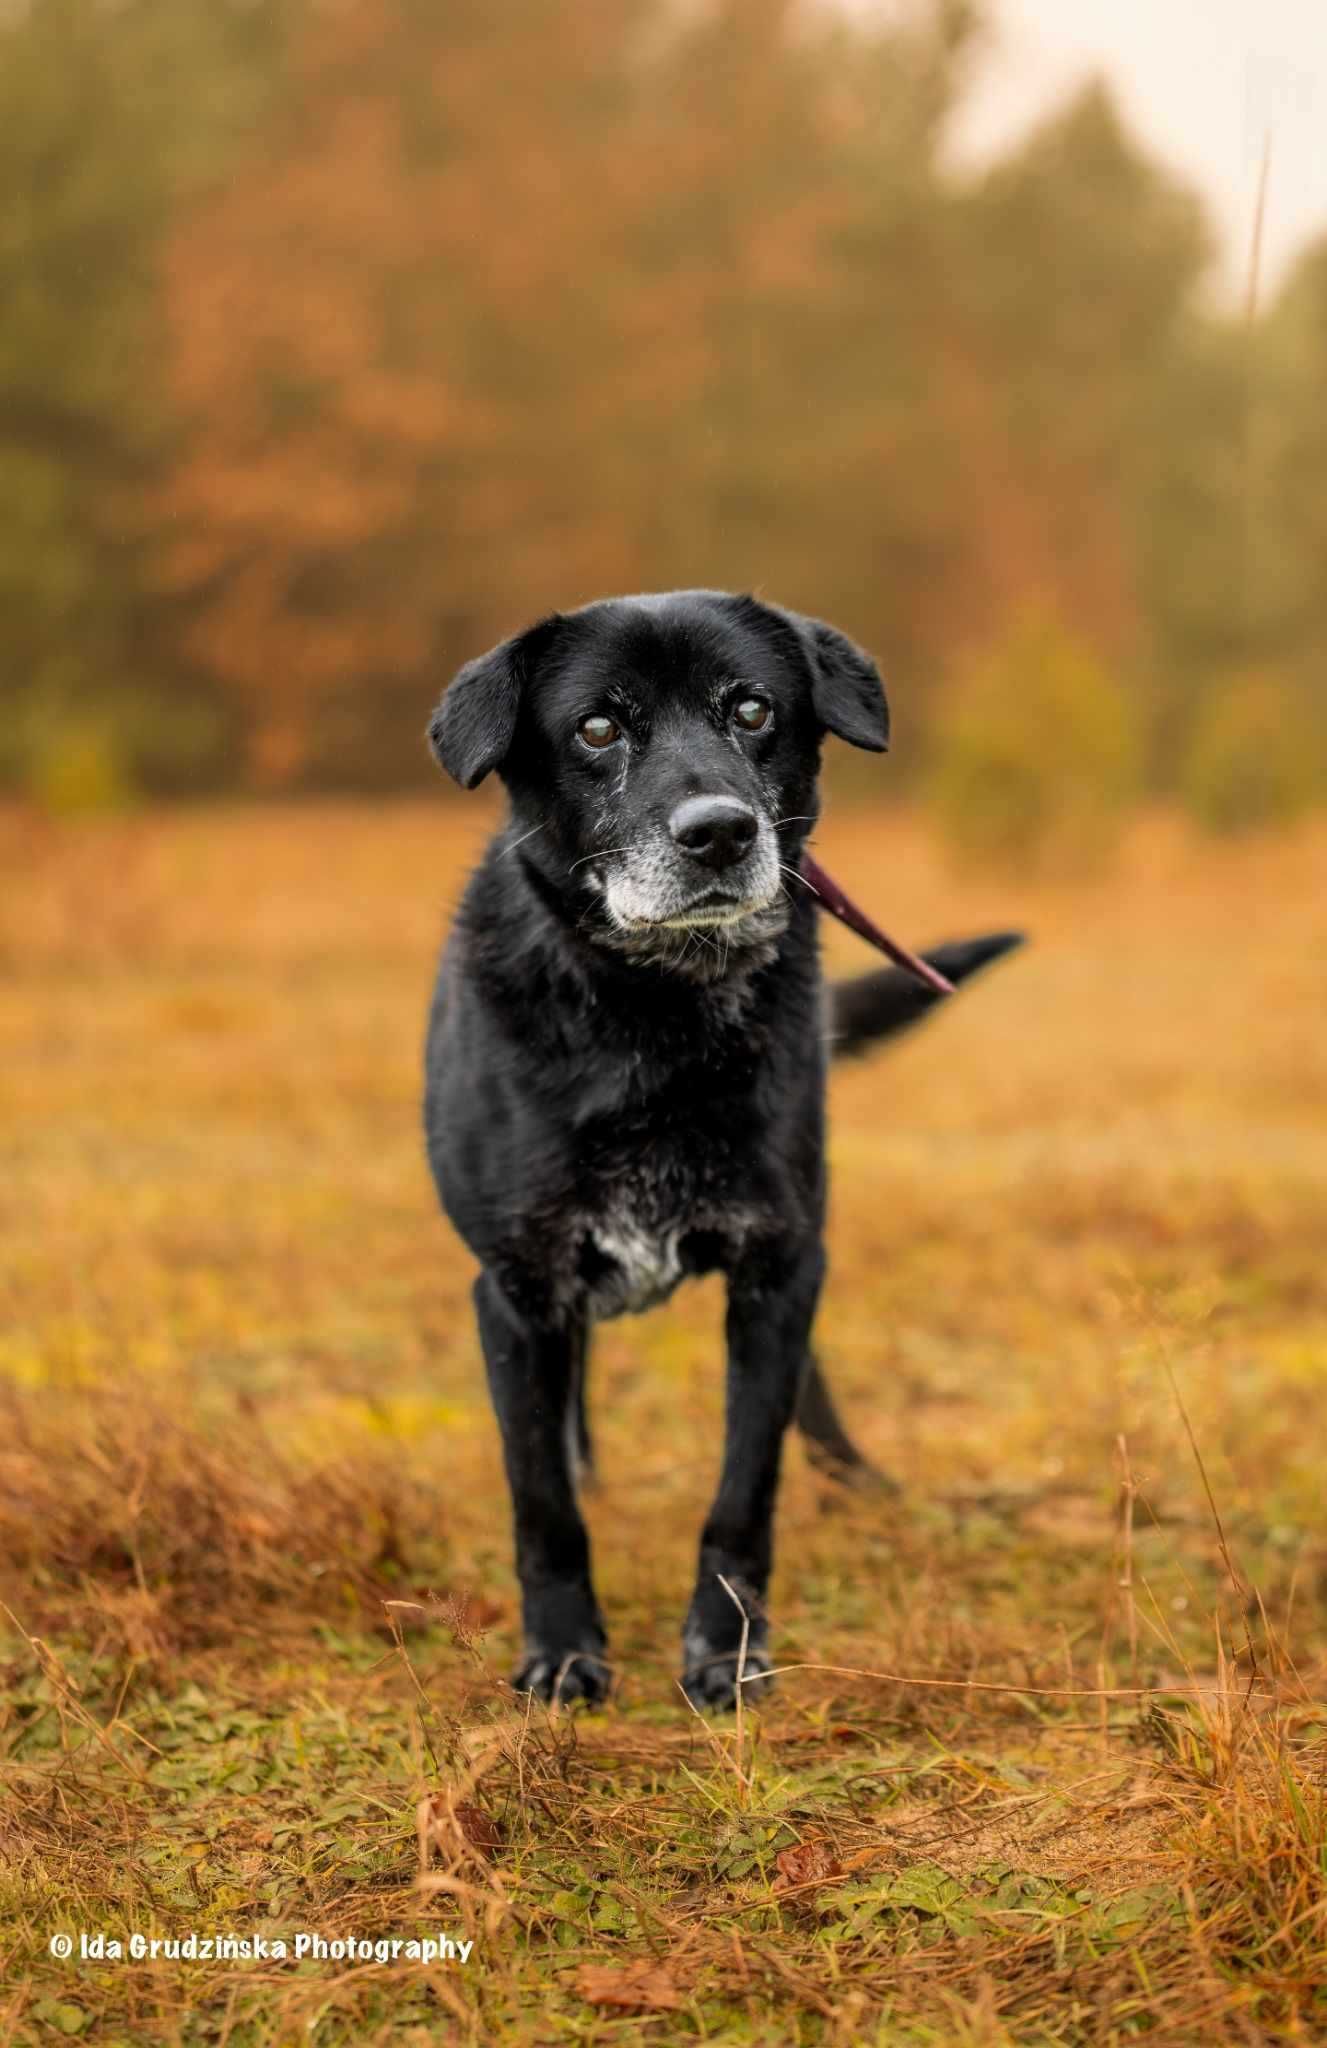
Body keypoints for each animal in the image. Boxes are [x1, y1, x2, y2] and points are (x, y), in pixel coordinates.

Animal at [425, 593, 1015, 1712]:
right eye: (597, 728)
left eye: (751, 709)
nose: (720, 832)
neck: (656, 1011)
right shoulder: (514, 1291)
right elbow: (542, 1499)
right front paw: (563, 1651)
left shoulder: (777, 1268)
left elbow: (745, 1487)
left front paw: (727, 1651)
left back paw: (856, 1480)